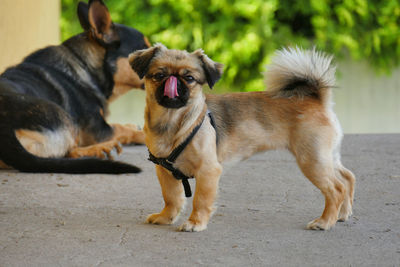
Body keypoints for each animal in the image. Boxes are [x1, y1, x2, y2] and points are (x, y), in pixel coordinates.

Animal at [0, 0, 150, 175]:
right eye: (143, 50)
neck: (84, 63)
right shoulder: (100, 131)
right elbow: (124, 130)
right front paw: (141, 133)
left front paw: (134, 125)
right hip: (65, 119)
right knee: (63, 153)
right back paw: (99, 149)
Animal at [129, 44, 356, 232]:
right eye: (159, 75)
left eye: (190, 78)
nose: (173, 82)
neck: (174, 123)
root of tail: (317, 99)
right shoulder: (165, 171)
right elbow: (172, 198)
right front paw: (165, 217)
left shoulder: (208, 171)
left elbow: (200, 201)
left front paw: (195, 223)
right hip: (325, 157)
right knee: (347, 178)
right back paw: (342, 215)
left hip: (312, 160)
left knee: (336, 189)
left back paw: (325, 222)